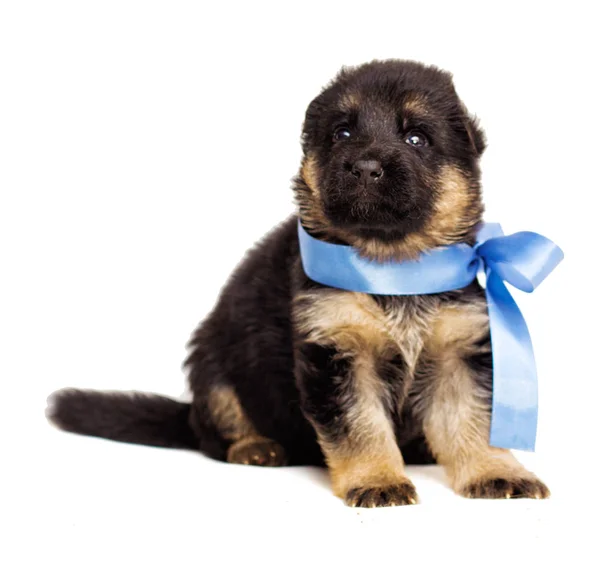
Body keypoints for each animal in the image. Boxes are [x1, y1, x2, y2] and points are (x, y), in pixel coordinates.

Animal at [49, 59, 552, 506]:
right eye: (342, 133)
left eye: (416, 138)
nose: (365, 166)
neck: (392, 264)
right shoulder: (338, 355)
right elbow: (361, 427)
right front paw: (376, 479)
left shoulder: (457, 353)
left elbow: (472, 419)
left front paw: (495, 472)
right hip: (215, 366)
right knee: (217, 431)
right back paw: (255, 447)